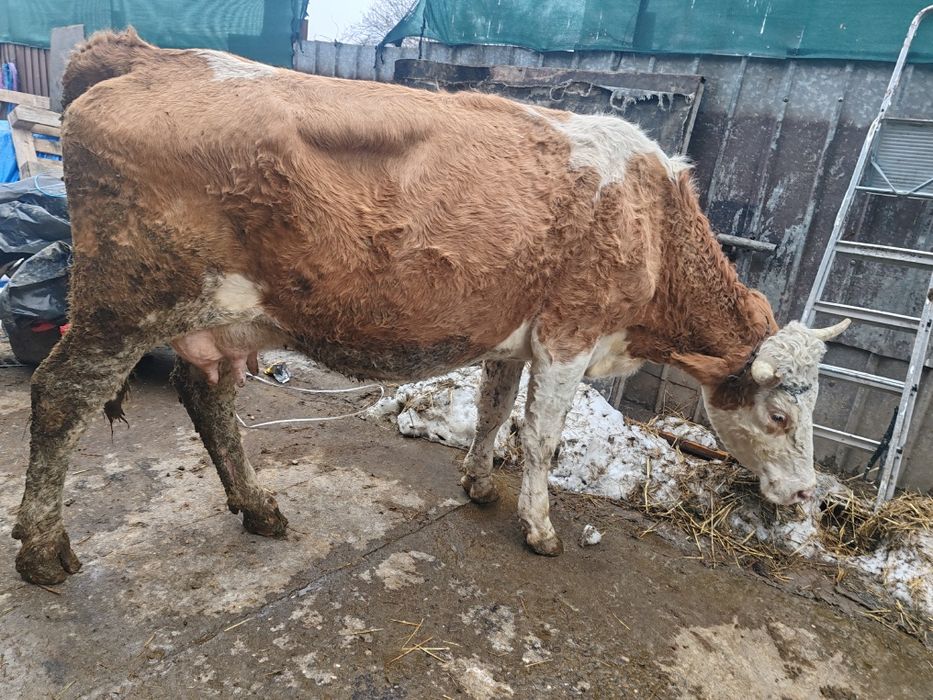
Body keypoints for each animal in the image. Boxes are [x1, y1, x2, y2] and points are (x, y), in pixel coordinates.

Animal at [12, 30, 849, 585]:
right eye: (780, 415)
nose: (806, 492)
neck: (650, 217)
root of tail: (151, 55)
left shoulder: (515, 336)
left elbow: (492, 412)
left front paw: (478, 484)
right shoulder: (568, 333)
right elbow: (540, 438)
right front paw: (538, 526)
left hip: (214, 319)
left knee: (208, 399)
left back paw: (258, 508)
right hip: (125, 302)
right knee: (62, 396)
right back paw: (43, 550)